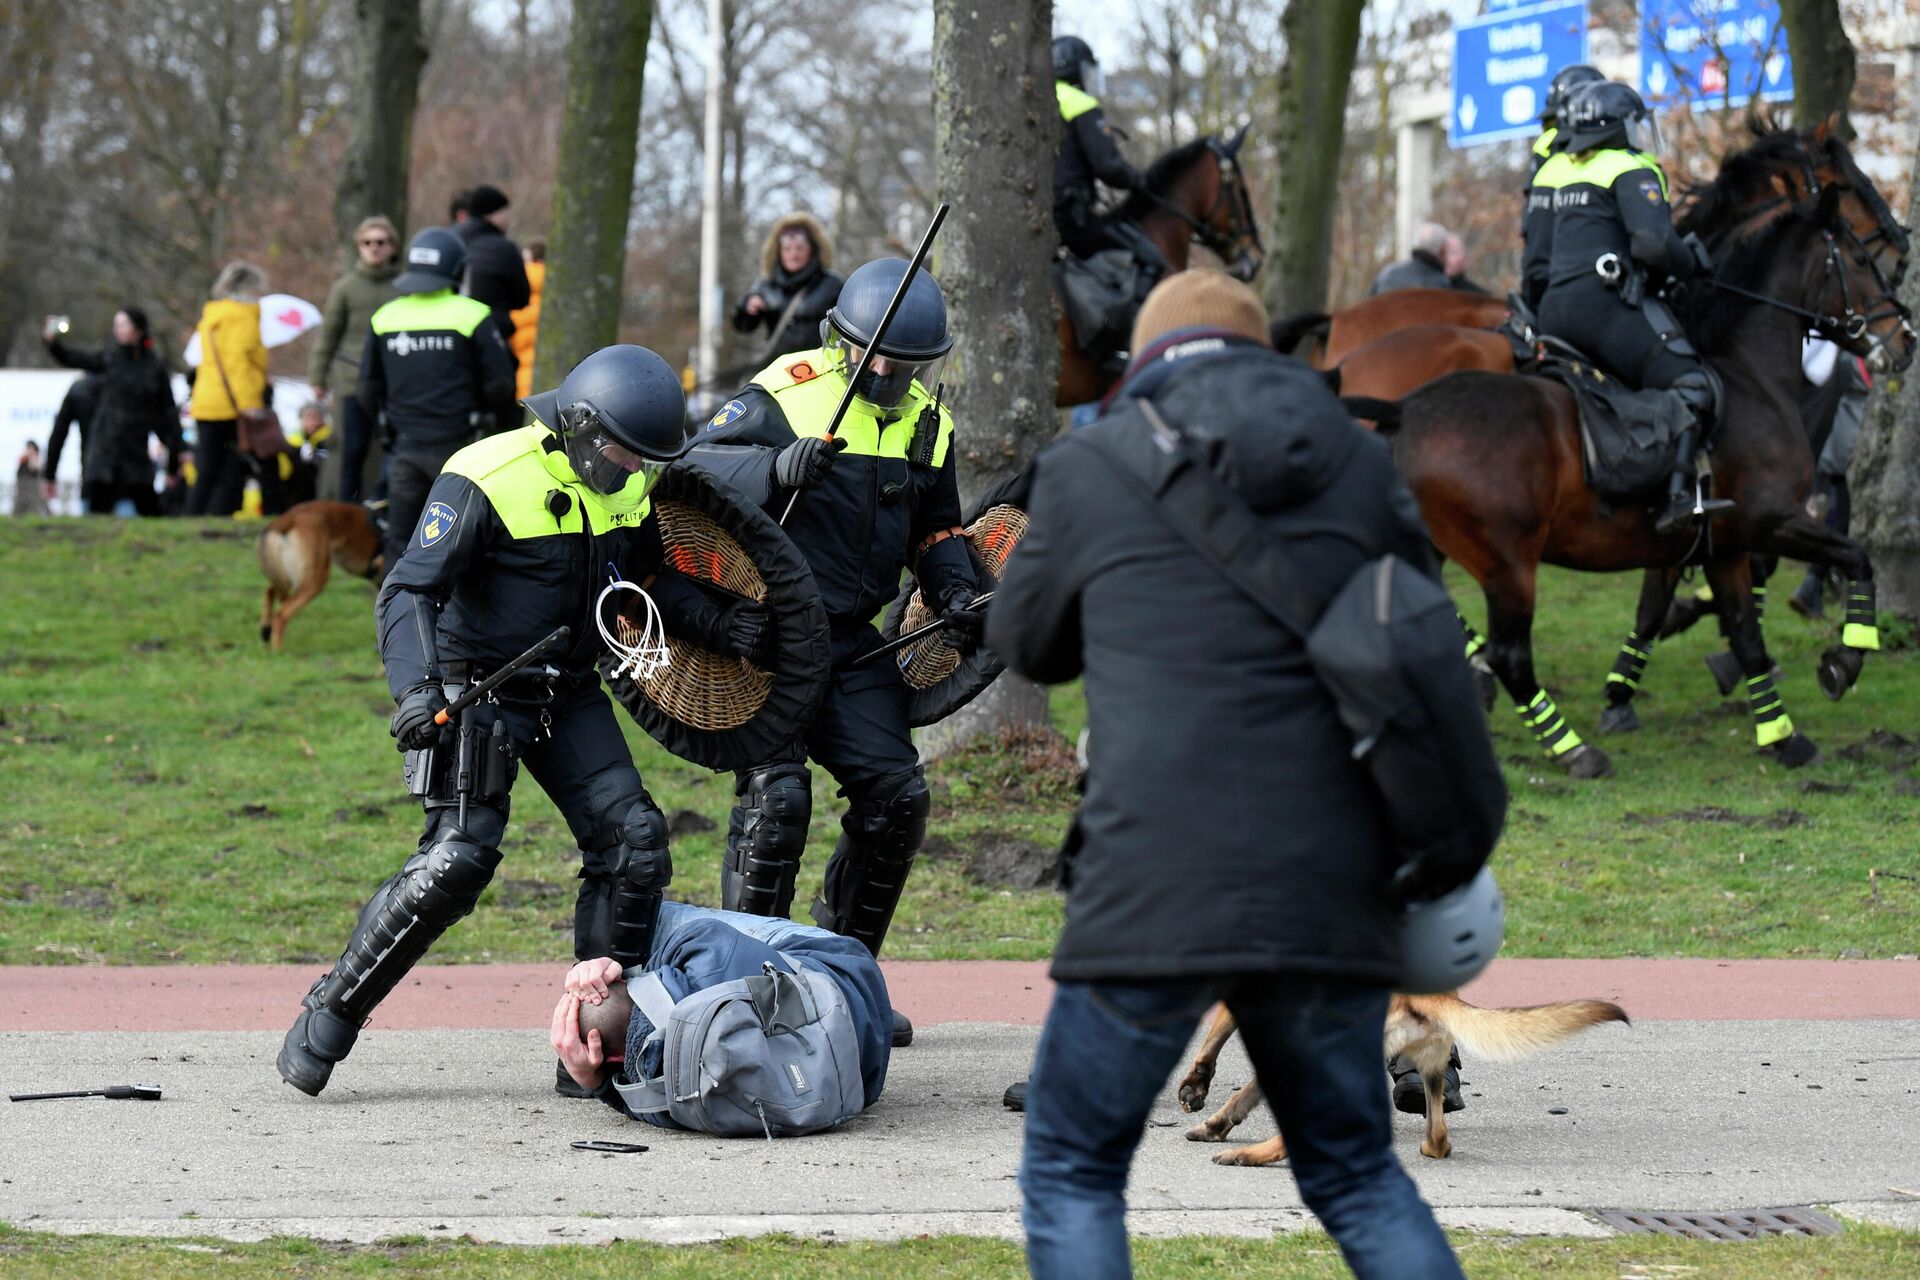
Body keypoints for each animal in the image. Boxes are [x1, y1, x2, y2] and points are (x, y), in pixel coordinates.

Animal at [259, 498, 385, 652]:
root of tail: (289, 517)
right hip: (315, 580)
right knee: (280, 615)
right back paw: (278, 651)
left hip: (288, 576)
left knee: (270, 591)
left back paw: (266, 631)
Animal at [1351, 124, 1904, 775]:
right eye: (1863, 251)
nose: (1906, 335)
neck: (1746, 375)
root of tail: (1407, 408)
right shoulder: (1770, 521)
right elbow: (1854, 558)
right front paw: (1844, 659)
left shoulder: (1721, 544)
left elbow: (1737, 629)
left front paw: (1780, 734)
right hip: (1507, 564)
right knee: (1511, 654)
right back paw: (1570, 747)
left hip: (1431, 550)